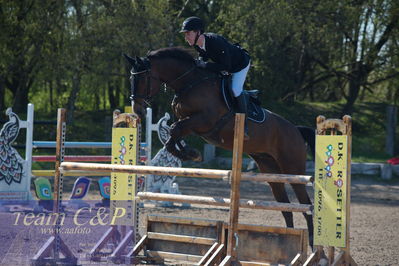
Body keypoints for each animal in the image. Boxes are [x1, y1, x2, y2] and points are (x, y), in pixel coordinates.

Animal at [124, 46, 316, 247]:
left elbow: (175, 130)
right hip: (270, 170)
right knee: (286, 207)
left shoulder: (204, 120)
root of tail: (296, 129)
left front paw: (191, 154)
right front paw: (190, 153)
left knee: (305, 204)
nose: (137, 111)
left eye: (142, 79)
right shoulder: (189, 123)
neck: (189, 83)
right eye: (131, 79)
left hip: (293, 169)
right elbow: (173, 133)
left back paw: (311, 243)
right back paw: (286, 241)